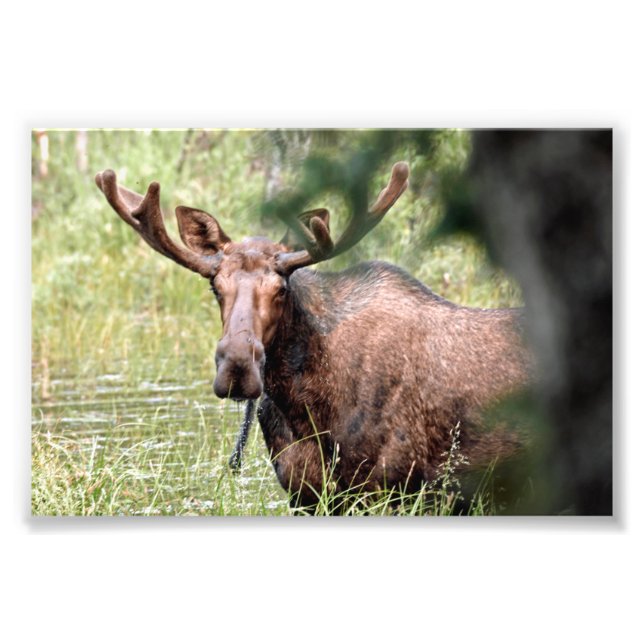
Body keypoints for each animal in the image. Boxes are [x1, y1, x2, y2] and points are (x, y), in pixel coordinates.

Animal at [95, 162, 533, 510]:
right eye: (215, 287)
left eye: (281, 288)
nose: (237, 366)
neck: (307, 409)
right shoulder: (305, 494)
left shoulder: (398, 488)